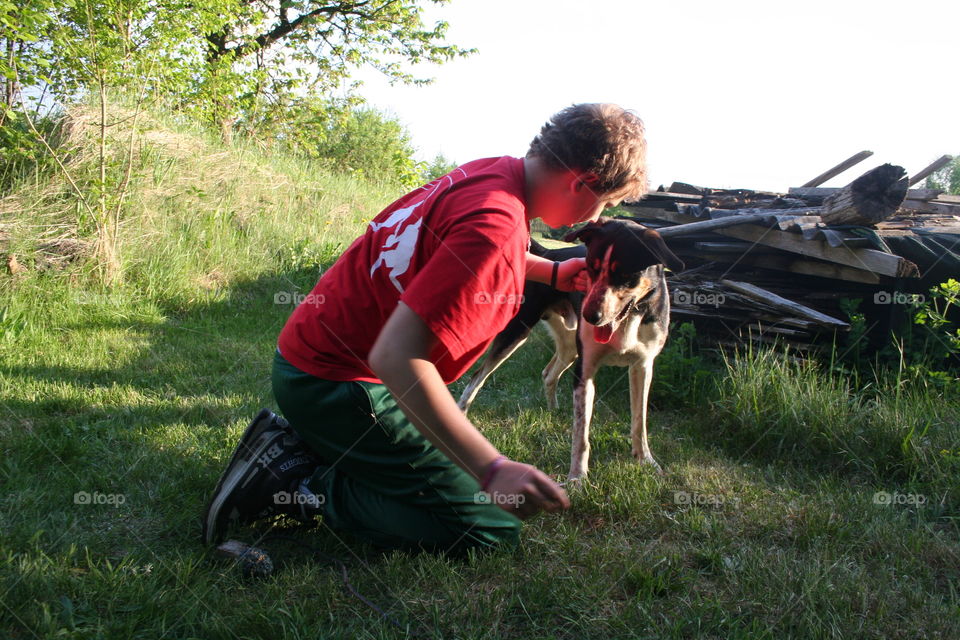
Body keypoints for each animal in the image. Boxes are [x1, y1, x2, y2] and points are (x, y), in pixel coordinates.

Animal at [458, 218, 684, 482]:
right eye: (589, 267)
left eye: (626, 275)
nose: (590, 316)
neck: (628, 320)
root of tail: (549, 254)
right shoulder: (585, 369)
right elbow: (581, 433)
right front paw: (577, 478)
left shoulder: (643, 366)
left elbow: (640, 421)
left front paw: (646, 461)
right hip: (517, 333)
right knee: (478, 376)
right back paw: (461, 412)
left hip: (569, 347)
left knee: (548, 374)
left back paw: (553, 411)